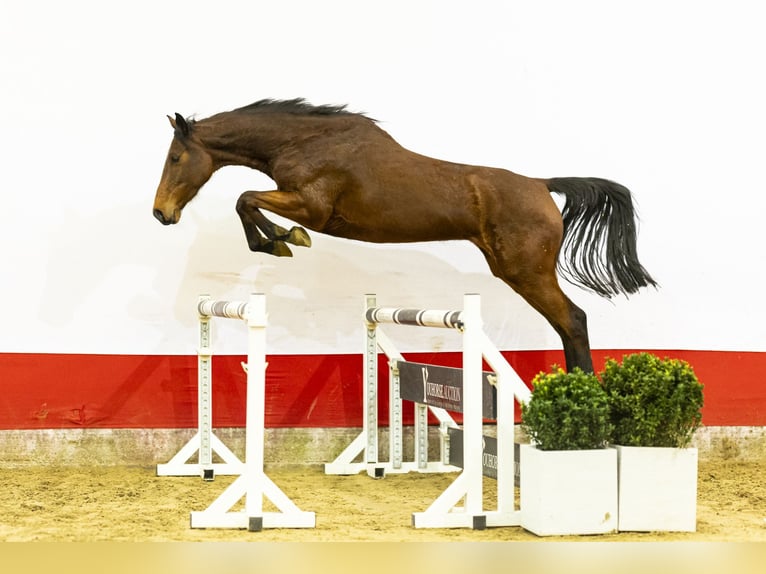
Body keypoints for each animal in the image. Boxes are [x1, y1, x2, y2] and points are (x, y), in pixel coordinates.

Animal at [153, 98, 657, 372]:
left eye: (176, 158)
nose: (161, 213)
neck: (306, 142)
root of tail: (541, 184)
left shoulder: (312, 207)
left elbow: (246, 199)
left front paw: (282, 239)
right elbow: (247, 201)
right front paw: (278, 240)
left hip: (526, 272)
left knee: (573, 320)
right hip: (517, 271)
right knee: (567, 324)